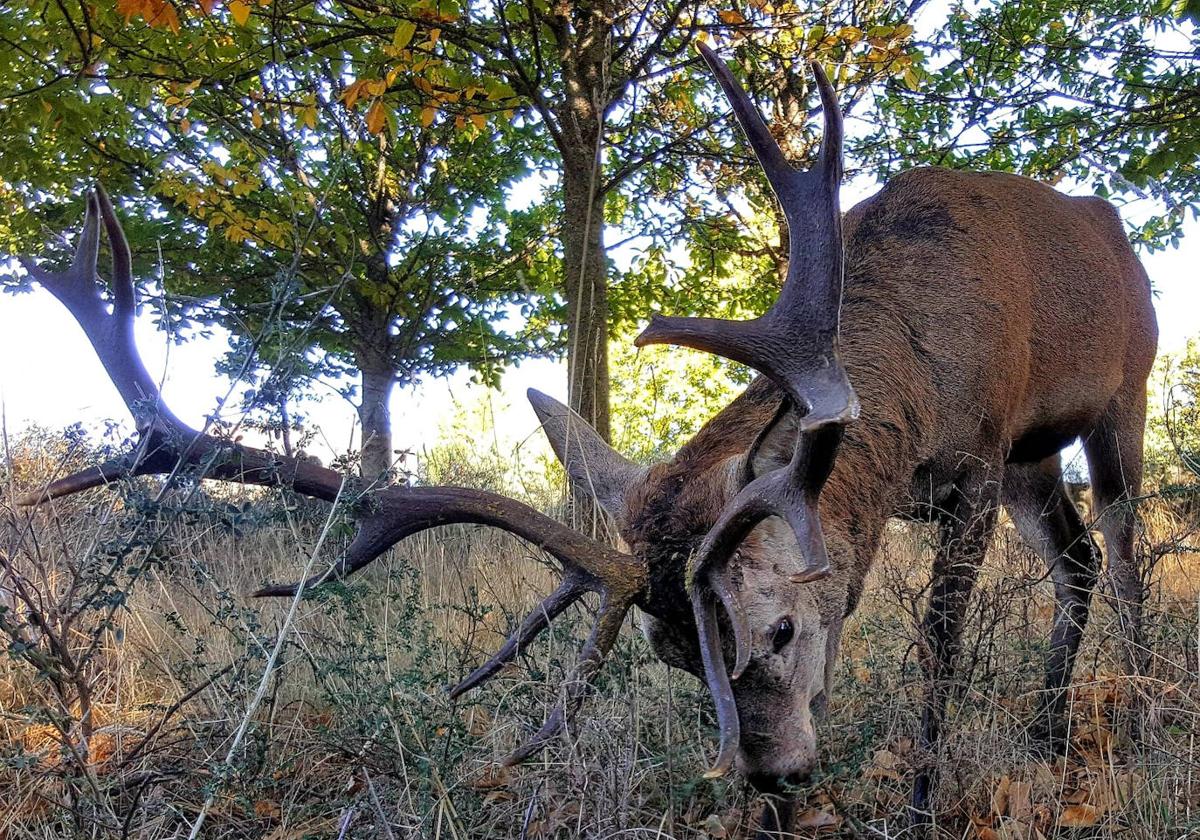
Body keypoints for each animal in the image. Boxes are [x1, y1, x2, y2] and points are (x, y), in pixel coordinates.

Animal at [11, 45, 1152, 835]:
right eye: (675, 655)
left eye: (779, 629)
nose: (778, 778)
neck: (908, 371)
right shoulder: (969, 471)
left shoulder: (978, 455)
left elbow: (939, 644)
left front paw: (919, 802)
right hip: (1036, 461)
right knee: (1078, 559)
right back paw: (1052, 729)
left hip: (1115, 399)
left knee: (1125, 553)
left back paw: (1135, 714)